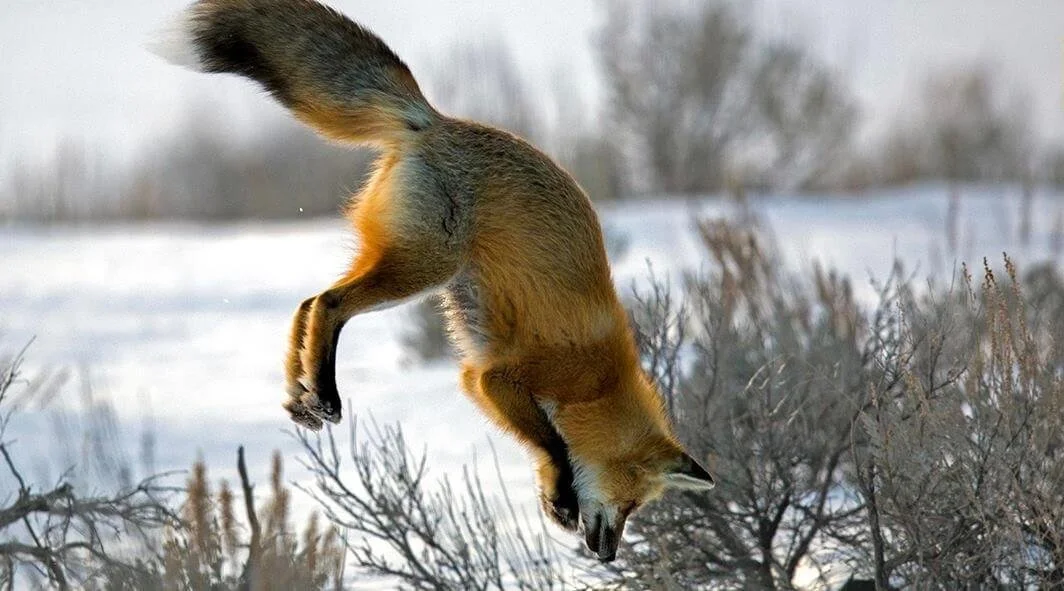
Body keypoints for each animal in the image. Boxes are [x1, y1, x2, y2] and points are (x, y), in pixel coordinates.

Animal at [154, 0, 715, 561]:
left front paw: (555, 501)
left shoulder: (477, 381)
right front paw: (561, 499)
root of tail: (436, 120)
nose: (607, 554)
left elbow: (538, 444)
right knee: (329, 304)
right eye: (630, 504)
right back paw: (327, 396)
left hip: (409, 265)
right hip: (426, 265)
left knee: (306, 303)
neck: (599, 384)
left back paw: (302, 395)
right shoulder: (504, 378)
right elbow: (552, 441)